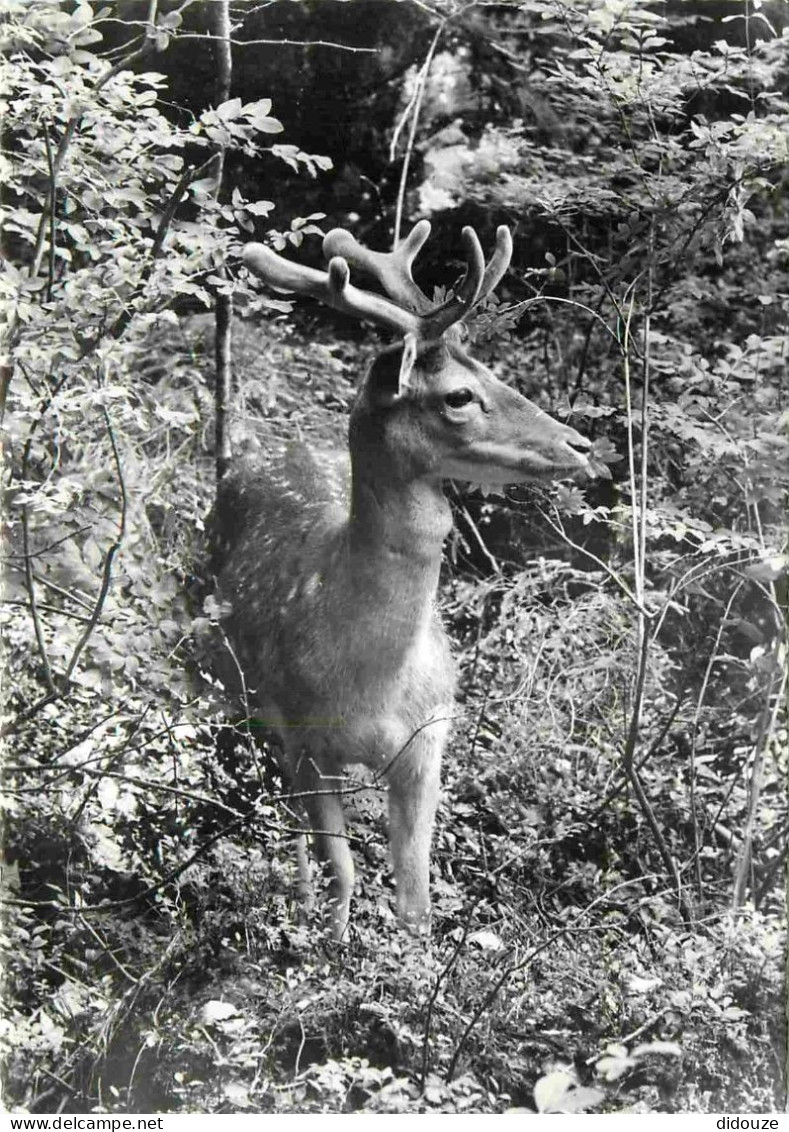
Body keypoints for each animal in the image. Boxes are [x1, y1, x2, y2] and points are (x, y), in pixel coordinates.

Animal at [209, 218, 588, 937]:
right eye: (458, 396)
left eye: (493, 372)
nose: (578, 443)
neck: (373, 680)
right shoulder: (306, 734)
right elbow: (345, 875)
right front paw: (329, 946)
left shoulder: (428, 740)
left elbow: (415, 898)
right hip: (235, 683)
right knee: (287, 810)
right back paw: (297, 900)